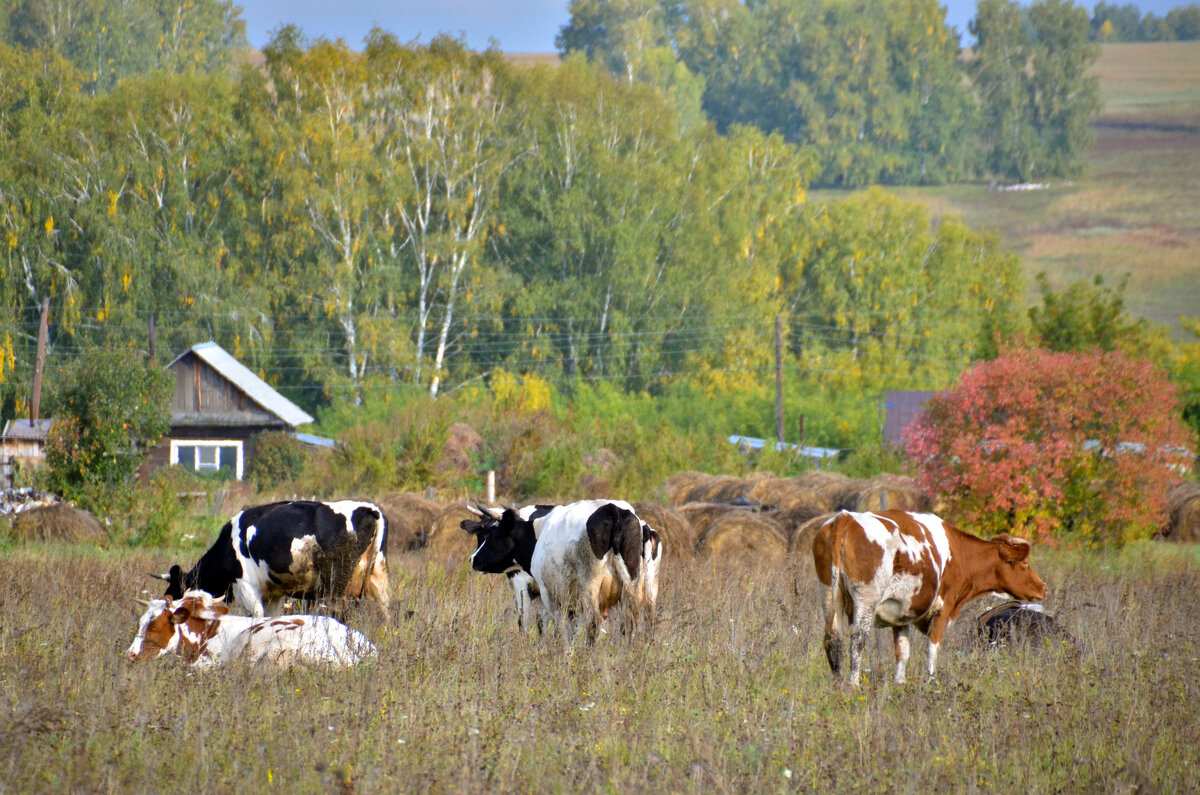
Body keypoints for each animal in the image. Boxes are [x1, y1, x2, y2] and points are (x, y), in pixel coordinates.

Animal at [152, 501, 388, 619]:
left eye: (174, 592)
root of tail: (367, 508)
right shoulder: (275, 594)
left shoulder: (246, 587)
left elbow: (256, 616)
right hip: (377, 577)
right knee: (385, 612)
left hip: (336, 586)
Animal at [811, 513, 1046, 686]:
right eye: (1025, 563)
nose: (1043, 587)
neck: (959, 554)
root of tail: (846, 517)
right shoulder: (944, 608)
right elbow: (932, 648)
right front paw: (932, 681)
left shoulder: (901, 613)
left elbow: (902, 651)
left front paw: (900, 682)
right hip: (865, 601)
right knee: (858, 639)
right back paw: (853, 684)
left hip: (828, 597)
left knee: (832, 640)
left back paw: (838, 683)